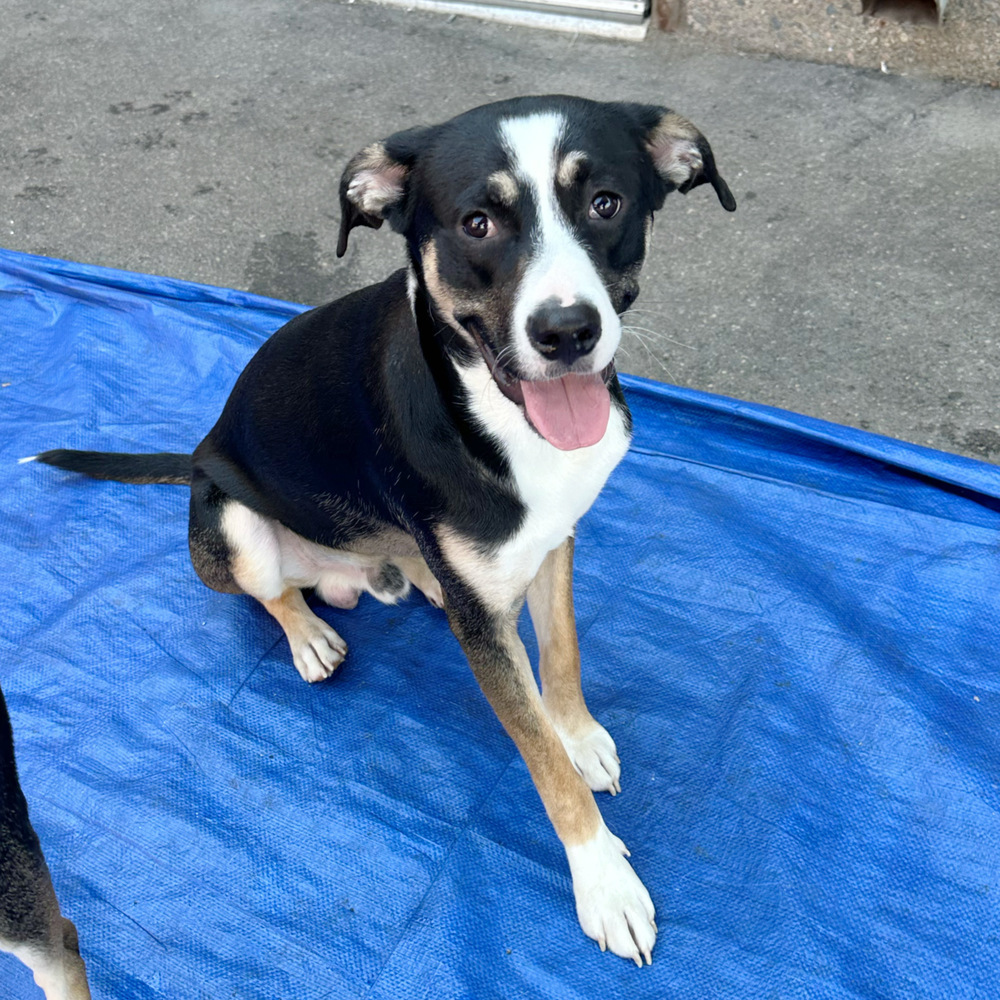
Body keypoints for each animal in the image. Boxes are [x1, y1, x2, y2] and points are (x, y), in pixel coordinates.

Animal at [29, 97, 736, 964]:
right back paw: (309, 635)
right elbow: (543, 764)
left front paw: (578, 731)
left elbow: (563, 653)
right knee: (273, 594)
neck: (501, 422)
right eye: (476, 223)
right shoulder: (484, 622)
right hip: (230, 521)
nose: (568, 331)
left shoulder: (555, 539)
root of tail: (197, 457)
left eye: (605, 203)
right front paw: (603, 880)